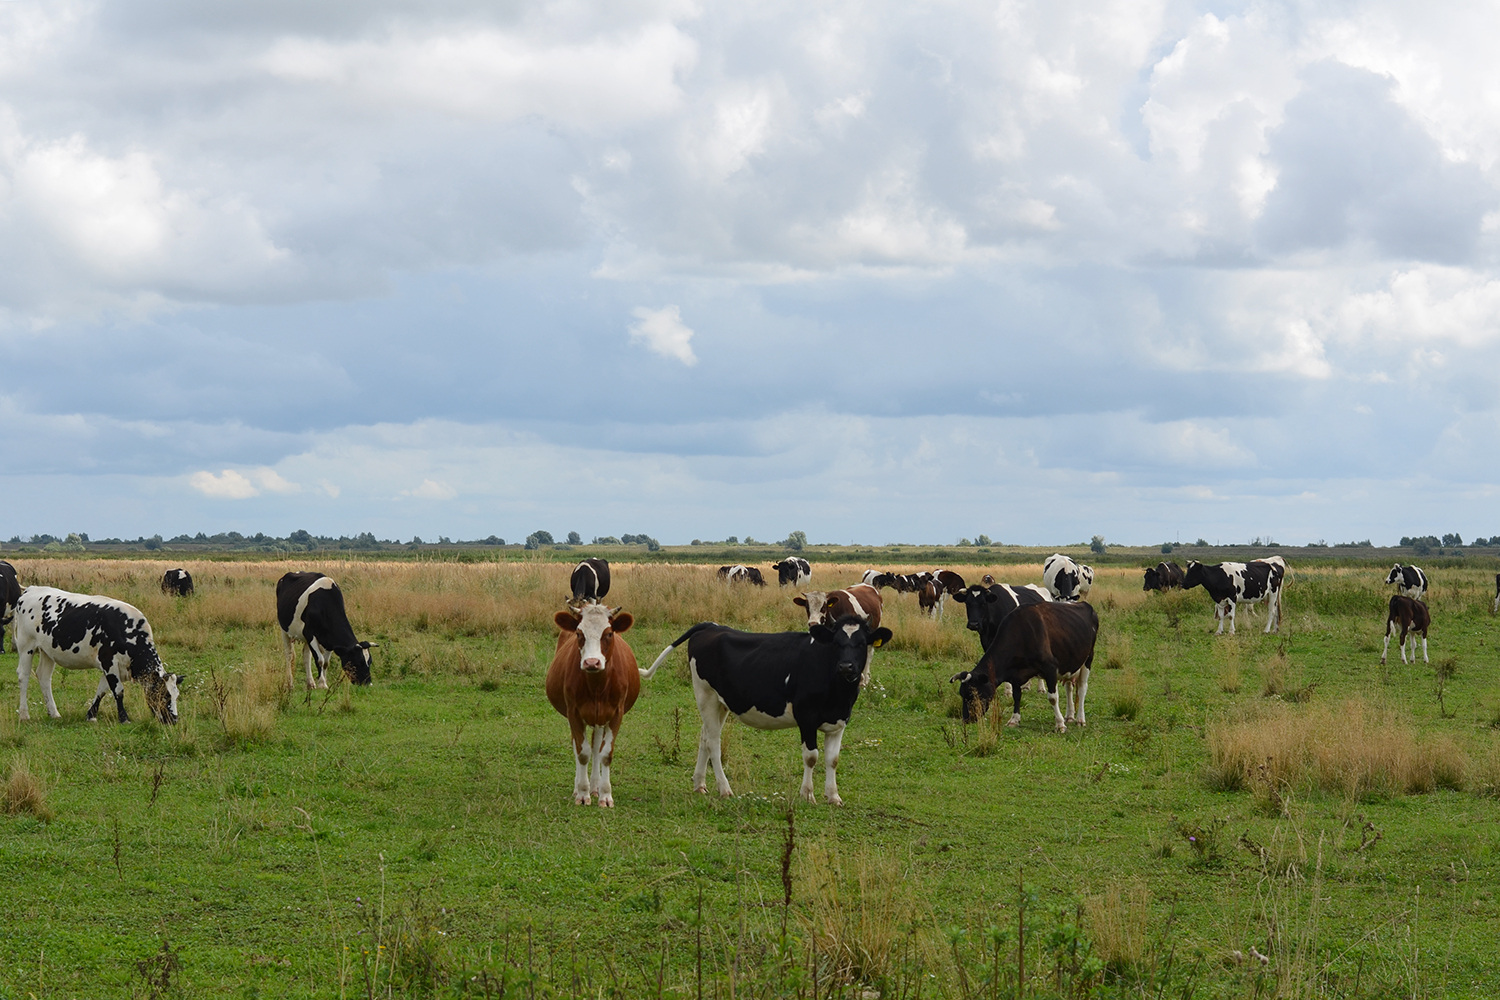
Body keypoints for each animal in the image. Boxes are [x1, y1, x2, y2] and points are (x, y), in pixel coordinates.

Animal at [13, 581, 183, 722]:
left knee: (44, 676)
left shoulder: (115, 667)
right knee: (24, 676)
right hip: (26, 645)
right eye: (164, 695)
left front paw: (91, 715)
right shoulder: (109, 661)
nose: (173, 720)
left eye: (176, 695)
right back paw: (24, 715)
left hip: (48, 651)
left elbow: (102, 690)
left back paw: (54, 713)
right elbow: (118, 691)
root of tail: (31, 589)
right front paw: (124, 718)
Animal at [645, 614, 888, 809]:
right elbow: (811, 757)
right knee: (713, 742)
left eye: (861, 643)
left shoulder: (839, 722)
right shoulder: (806, 718)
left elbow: (833, 759)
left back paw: (699, 784)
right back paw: (724, 789)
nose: (846, 666)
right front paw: (807, 795)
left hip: (721, 703)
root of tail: (711, 626)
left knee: (704, 737)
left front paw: (833, 796)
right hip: (706, 695)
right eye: (836, 643)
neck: (838, 694)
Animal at [948, 599, 1104, 731]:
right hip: (1070, 662)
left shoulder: (1050, 668)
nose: (967, 719)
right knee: (1069, 687)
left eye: (974, 694)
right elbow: (1017, 696)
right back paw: (1070, 716)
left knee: (1082, 688)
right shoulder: (1015, 675)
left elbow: (1053, 698)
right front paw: (1014, 720)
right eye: (962, 694)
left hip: (1088, 659)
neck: (1022, 633)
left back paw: (1080, 719)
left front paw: (1059, 724)